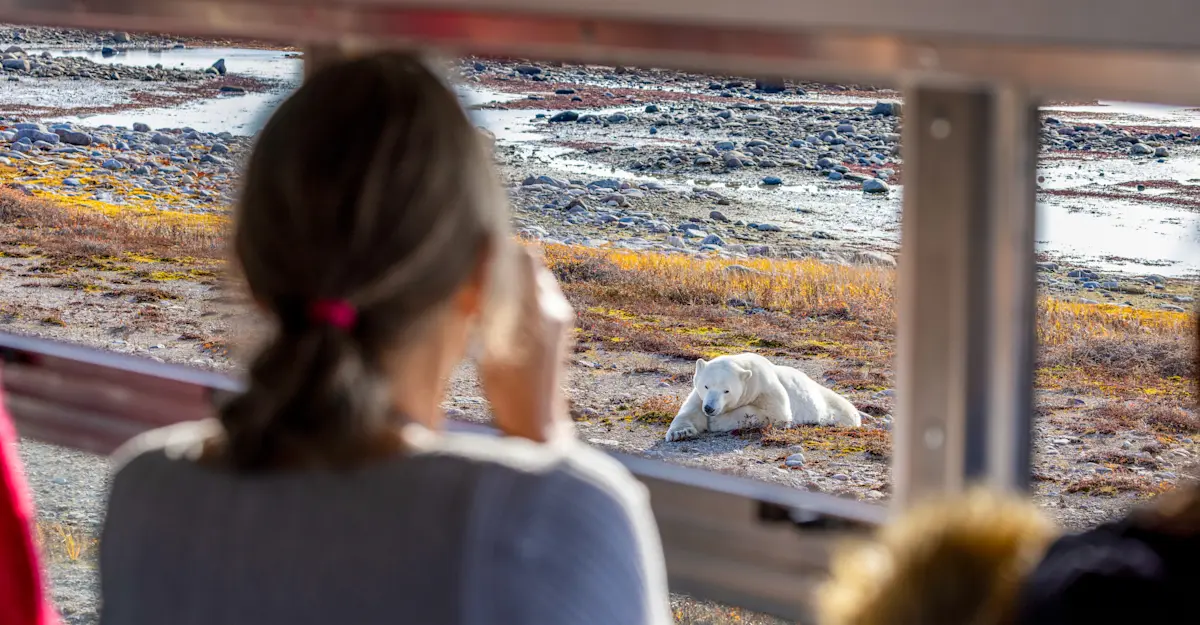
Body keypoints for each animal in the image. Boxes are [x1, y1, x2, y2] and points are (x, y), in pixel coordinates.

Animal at [665, 352, 863, 442]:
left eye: (726, 391)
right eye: (706, 386)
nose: (710, 408)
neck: (747, 370)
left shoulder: (765, 387)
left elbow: (776, 415)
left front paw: (717, 422)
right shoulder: (700, 396)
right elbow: (689, 411)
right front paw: (680, 432)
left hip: (835, 407)